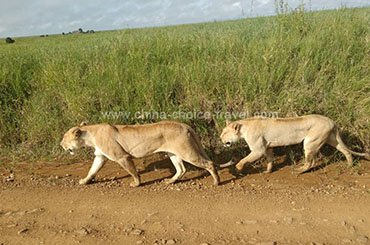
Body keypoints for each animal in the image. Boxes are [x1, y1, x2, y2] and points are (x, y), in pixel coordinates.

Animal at [60, 121, 220, 187]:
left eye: (64, 137)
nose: (61, 144)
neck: (90, 134)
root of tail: (185, 125)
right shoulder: (100, 156)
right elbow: (92, 170)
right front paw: (84, 181)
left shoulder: (122, 157)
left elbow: (133, 171)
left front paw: (136, 183)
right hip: (173, 153)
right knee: (181, 169)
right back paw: (170, 181)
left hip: (187, 151)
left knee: (209, 163)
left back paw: (216, 182)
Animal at [221, 114, 368, 173]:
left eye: (224, 133)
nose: (221, 140)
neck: (244, 128)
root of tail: (332, 121)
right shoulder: (267, 147)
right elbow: (270, 159)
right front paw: (268, 171)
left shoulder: (258, 149)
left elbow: (244, 160)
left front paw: (238, 168)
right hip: (332, 139)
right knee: (346, 151)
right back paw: (349, 165)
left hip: (311, 142)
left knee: (310, 162)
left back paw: (298, 171)